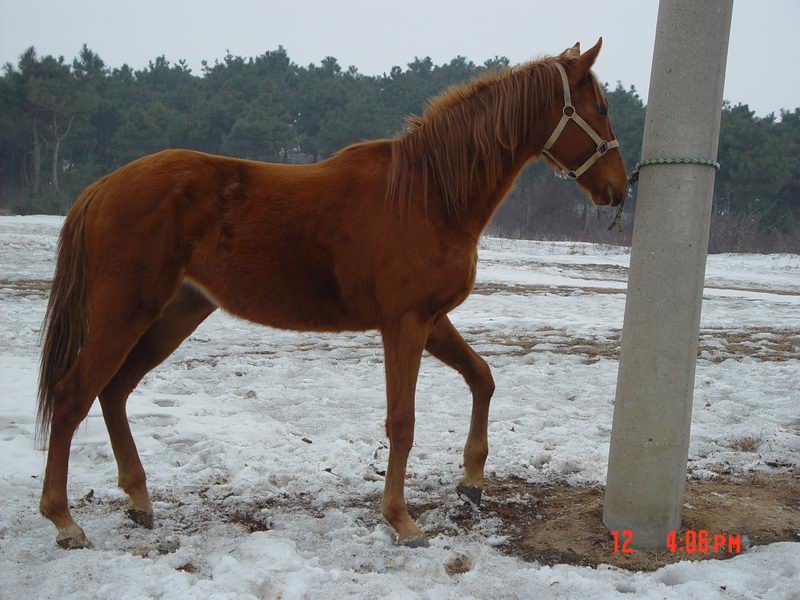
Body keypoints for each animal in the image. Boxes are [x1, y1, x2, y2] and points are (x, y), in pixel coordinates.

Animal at [36, 39, 624, 548]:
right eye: (599, 106)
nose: (618, 188)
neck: (428, 194)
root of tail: (102, 187)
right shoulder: (405, 324)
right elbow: (402, 422)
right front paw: (400, 520)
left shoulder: (432, 320)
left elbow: (482, 377)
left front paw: (472, 481)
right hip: (124, 312)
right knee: (72, 397)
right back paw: (63, 520)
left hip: (175, 314)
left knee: (114, 392)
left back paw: (139, 500)